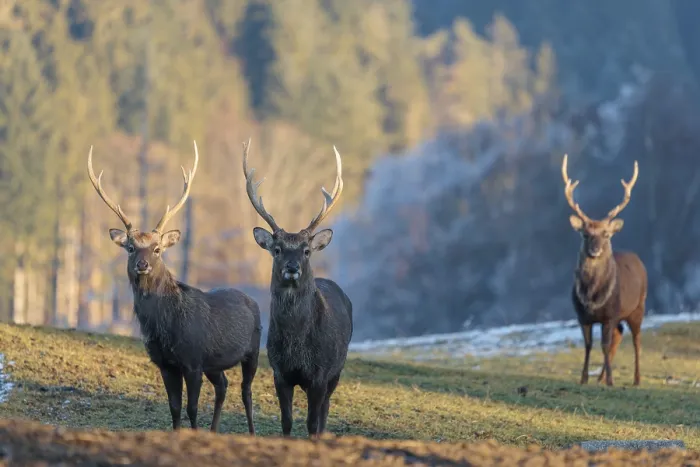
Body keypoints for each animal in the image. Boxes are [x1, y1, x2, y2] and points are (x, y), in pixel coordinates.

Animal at [87, 142, 262, 433]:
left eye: (157, 248)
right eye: (130, 247)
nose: (143, 264)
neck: (165, 325)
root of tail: (252, 301)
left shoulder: (193, 361)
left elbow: (192, 408)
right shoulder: (166, 364)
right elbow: (175, 408)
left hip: (254, 350)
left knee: (246, 392)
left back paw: (249, 432)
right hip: (215, 364)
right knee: (223, 386)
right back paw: (214, 430)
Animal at [241, 139, 353, 438]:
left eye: (306, 250)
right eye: (277, 249)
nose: (292, 267)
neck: (296, 345)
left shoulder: (320, 373)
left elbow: (313, 422)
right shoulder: (280, 372)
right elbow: (287, 421)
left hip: (338, 367)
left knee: (325, 410)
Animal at [561, 154, 647, 387]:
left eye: (606, 234)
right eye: (585, 234)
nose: (595, 250)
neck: (593, 297)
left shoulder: (610, 315)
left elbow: (604, 345)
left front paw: (611, 380)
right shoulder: (582, 316)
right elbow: (589, 345)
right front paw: (584, 378)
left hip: (639, 306)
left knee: (636, 339)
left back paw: (636, 379)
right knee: (619, 336)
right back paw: (599, 378)